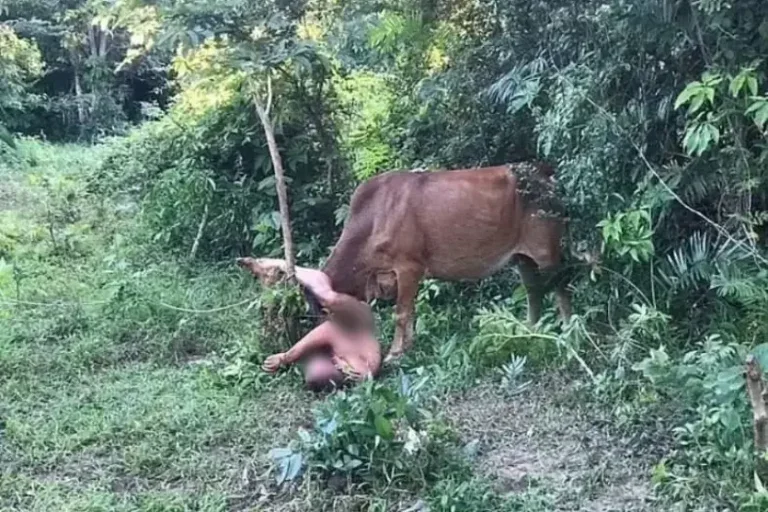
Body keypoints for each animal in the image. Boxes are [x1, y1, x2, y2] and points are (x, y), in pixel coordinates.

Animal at [310, 162, 573, 363]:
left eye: (335, 319)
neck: (372, 221)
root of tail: (547, 175)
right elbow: (410, 312)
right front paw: (408, 346)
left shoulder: (409, 267)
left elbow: (401, 313)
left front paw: (395, 353)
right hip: (522, 257)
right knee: (533, 291)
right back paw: (530, 329)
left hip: (546, 250)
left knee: (561, 285)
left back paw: (569, 328)